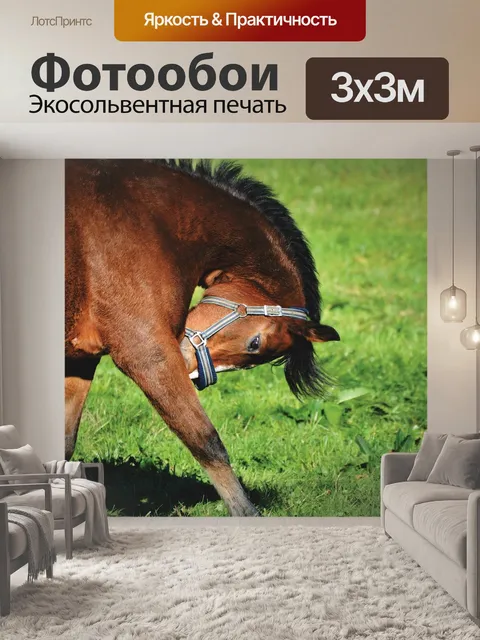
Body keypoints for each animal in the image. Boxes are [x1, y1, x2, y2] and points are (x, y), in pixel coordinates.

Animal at [65, 159, 340, 516]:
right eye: (255, 344)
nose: (192, 372)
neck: (151, 222)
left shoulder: (80, 360)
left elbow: (64, 443)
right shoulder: (148, 355)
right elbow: (206, 441)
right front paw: (246, 513)